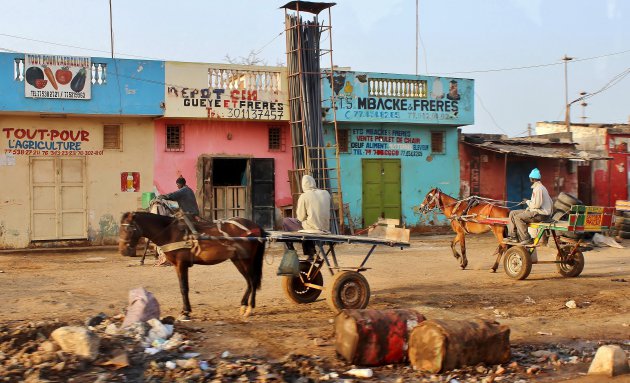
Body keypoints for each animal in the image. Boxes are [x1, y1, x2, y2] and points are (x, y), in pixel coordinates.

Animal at [119, 213, 266, 320]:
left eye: (128, 228)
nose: (123, 251)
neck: (171, 233)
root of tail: (255, 226)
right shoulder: (177, 266)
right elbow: (182, 287)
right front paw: (186, 310)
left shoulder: (181, 264)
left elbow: (184, 288)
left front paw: (185, 312)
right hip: (238, 260)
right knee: (249, 282)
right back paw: (244, 305)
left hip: (246, 260)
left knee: (252, 281)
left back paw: (250, 308)